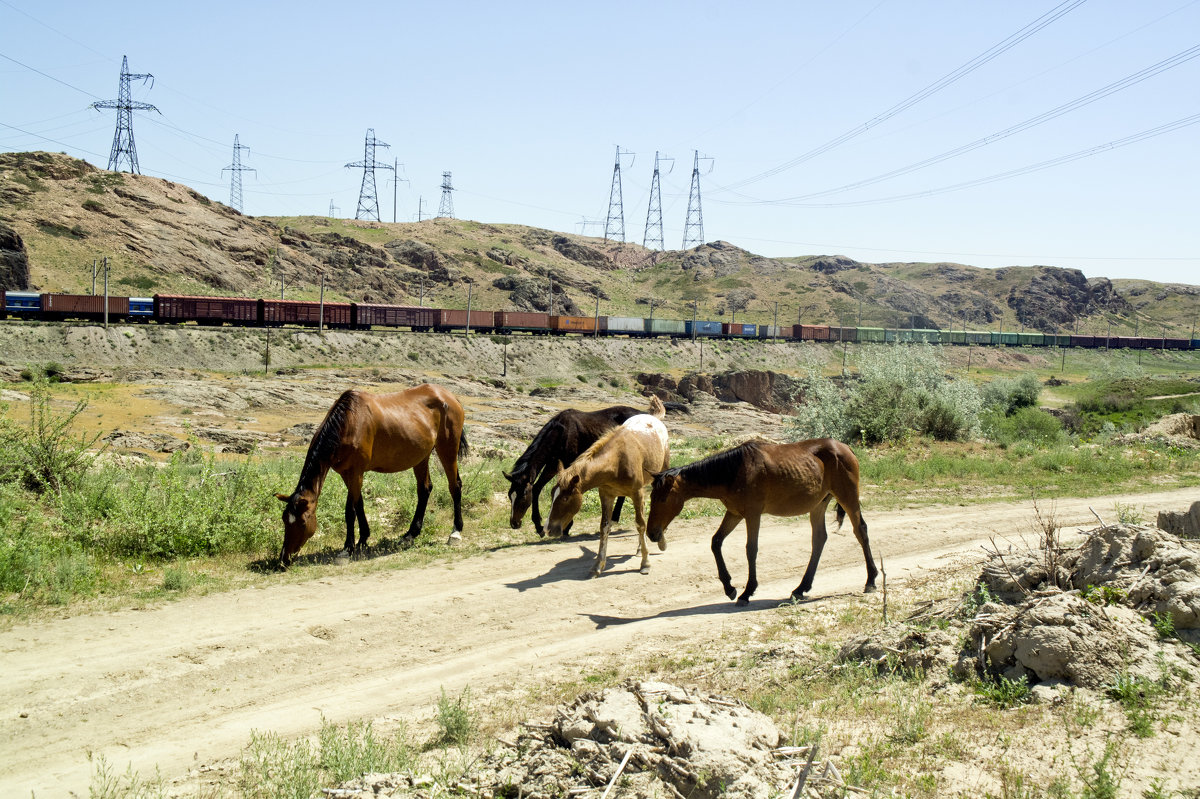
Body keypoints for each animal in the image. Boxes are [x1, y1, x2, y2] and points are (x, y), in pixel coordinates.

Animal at [276, 381, 468, 563]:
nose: (284, 558)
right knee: (424, 489)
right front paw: (363, 540)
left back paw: (455, 532)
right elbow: (359, 504)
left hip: (447, 449)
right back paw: (410, 534)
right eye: (284, 519)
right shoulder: (347, 474)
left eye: (302, 522)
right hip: (421, 457)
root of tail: (449, 396)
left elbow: (350, 510)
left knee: (455, 486)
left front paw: (347, 548)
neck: (348, 423)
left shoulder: (356, 472)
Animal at [501, 398, 662, 535]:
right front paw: (538, 526)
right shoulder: (552, 465)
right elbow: (537, 488)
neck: (561, 432)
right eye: (510, 495)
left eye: (522, 496)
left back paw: (614, 517)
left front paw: (567, 526)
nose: (514, 523)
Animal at [549, 395, 672, 575]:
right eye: (552, 495)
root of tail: (655, 418)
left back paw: (660, 541)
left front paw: (645, 563)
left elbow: (640, 524)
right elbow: (604, 527)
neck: (617, 460)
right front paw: (597, 565)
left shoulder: (636, 493)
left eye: (565, 498)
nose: (548, 529)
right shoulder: (606, 495)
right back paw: (639, 548)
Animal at [652, 436, 878, 604]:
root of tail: (845, 448)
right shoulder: (734, 513)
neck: (735, 470)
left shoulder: (752, 514)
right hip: (818, 505)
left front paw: (747, 591)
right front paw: (729, 587)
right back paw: (800, 588)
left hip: (848, 497)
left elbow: (751, 549)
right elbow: (716, 542)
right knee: (819, 539)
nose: (652, 534)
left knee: (861, 531)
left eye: (662, 498)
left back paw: (871, 580)